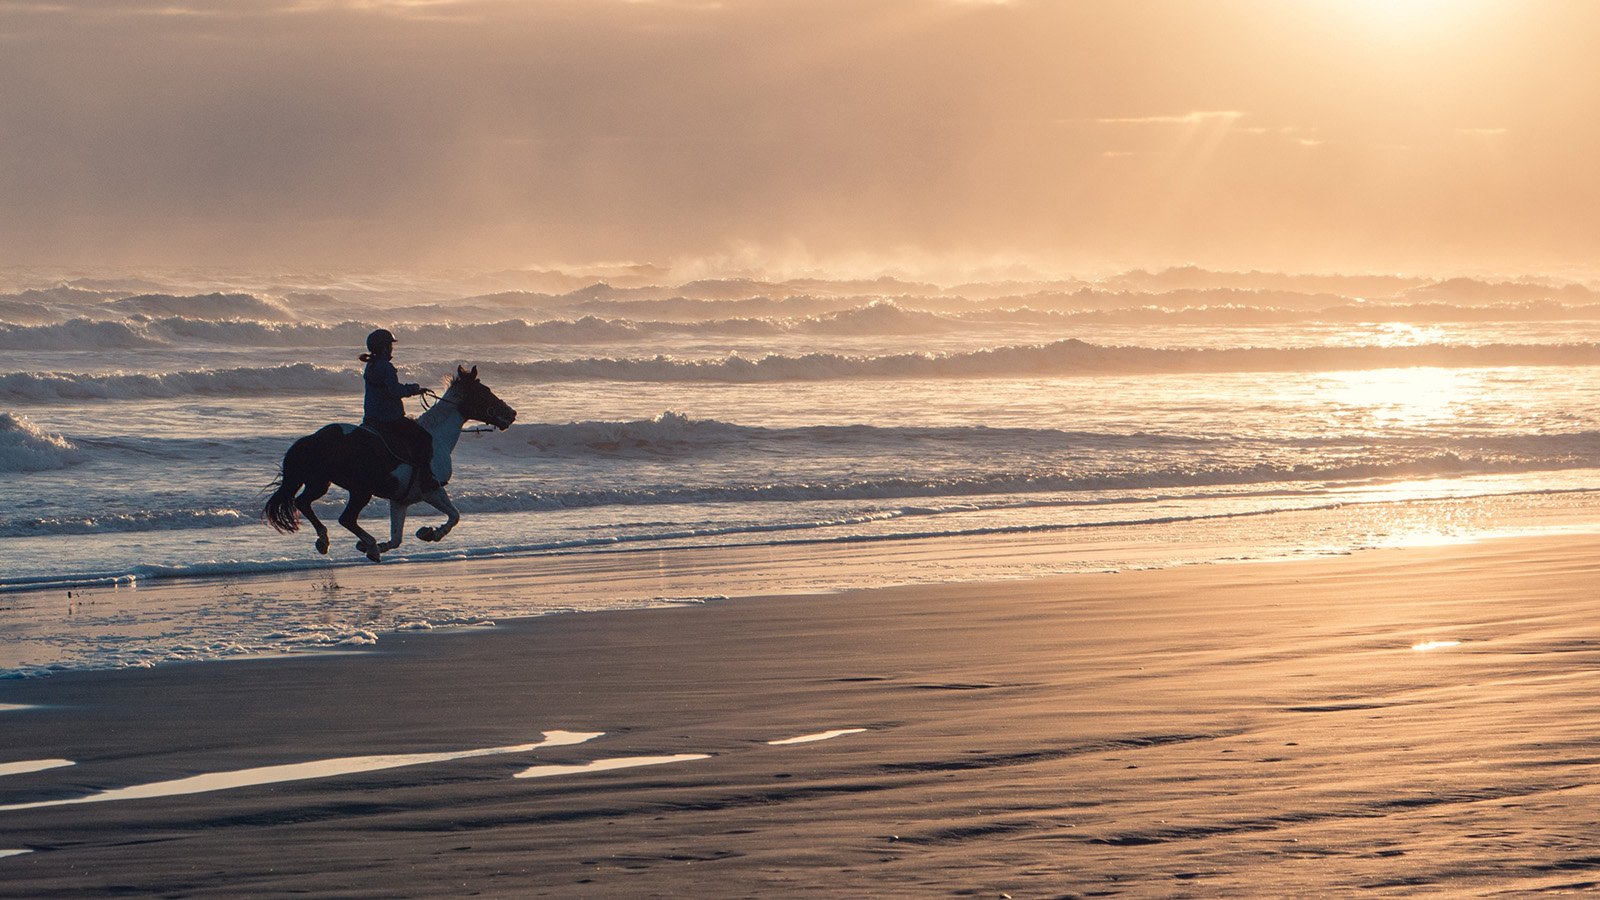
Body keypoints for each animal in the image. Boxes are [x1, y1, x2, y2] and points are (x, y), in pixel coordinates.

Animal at [260, 365, 512, 560]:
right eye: (485, 392)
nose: (512, 414)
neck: (437, 436)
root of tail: (314, 438)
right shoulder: (432, 490)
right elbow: (455, 516)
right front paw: (430, 533)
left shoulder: (401, 500)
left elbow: (397, 538)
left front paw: (380, 546)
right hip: (360, 490)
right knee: (345, 518)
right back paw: (366, 544)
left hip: (320, 483)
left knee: (303, 502)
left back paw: (326, 541)